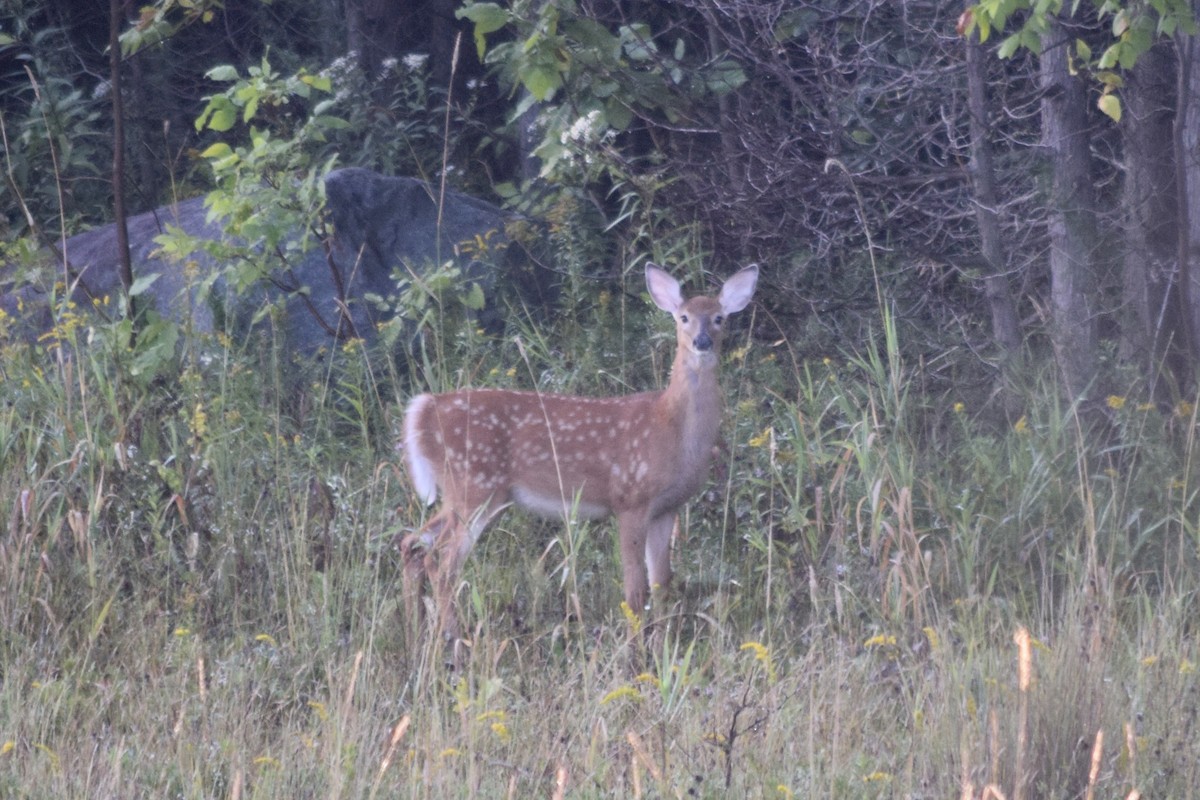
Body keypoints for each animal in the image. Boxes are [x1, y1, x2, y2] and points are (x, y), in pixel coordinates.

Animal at [398, 263, 759, 640]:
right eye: (684, 317)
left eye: (719, 318)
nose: (702, 341)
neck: (671, 429)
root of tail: (424, 409)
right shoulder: (629, 498)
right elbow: (635, 590)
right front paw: (637, 648)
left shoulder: (666, 508)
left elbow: (662, 584)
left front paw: (664, 641)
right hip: (473, 485)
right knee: (440, 561)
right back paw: (454, 638)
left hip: (468, 495)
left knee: (412, 544)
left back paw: (415, 630)